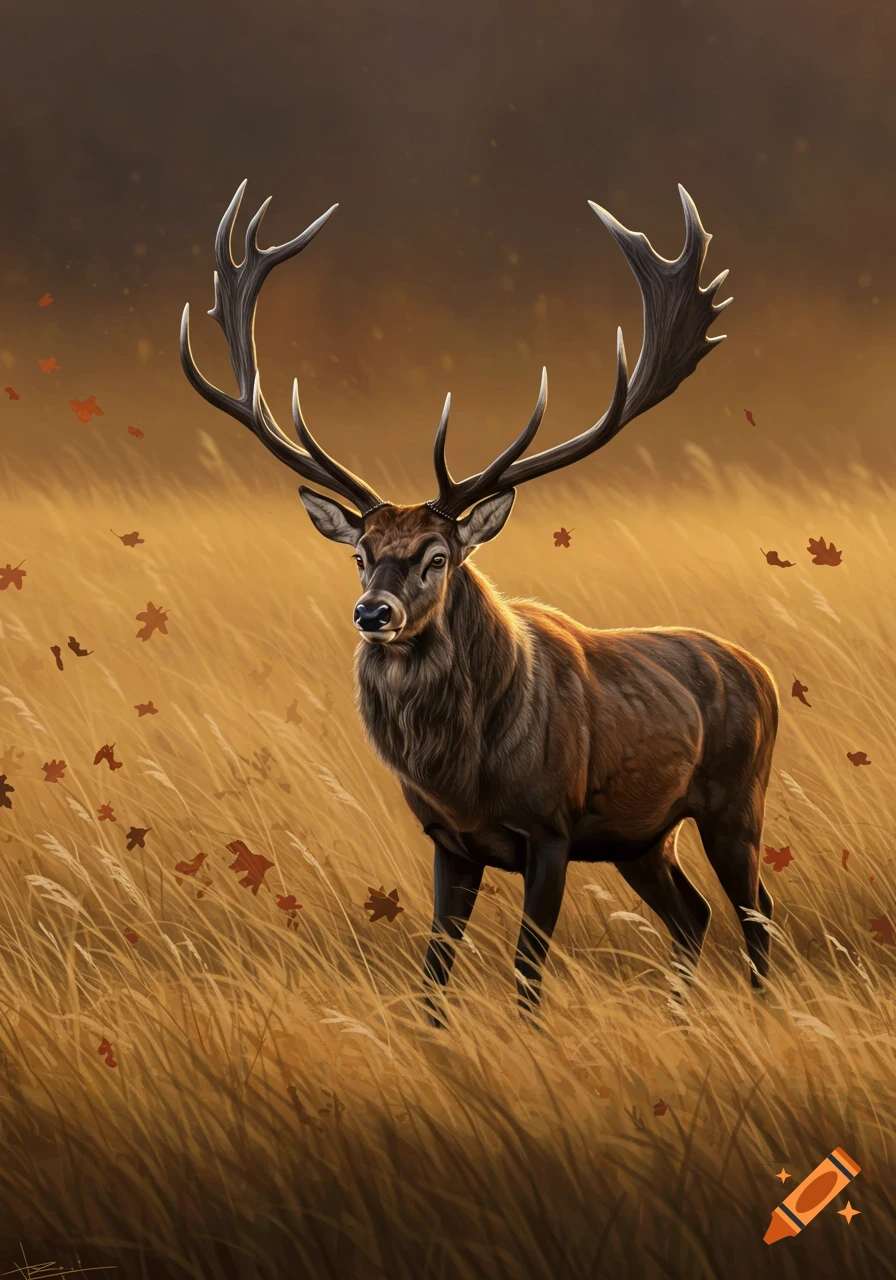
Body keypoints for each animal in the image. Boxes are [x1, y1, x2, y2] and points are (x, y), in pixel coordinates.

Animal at [181, 180, 779, 1025]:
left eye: (438, 557)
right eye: (360, 555)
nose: (374, 614)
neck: (467, 773)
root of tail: (760, 671)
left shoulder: (552, 827)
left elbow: (528, 972)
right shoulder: (449, 840)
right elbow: (434, 968)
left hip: (736, 800)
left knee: (757, 913)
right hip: (640, 836)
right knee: (692, 915)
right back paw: (682, 1020)